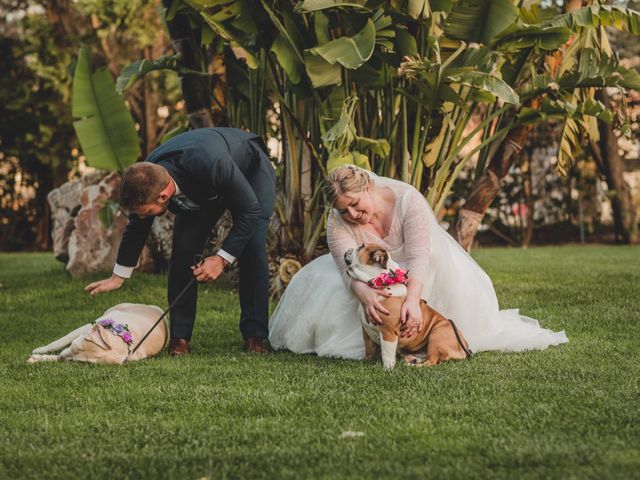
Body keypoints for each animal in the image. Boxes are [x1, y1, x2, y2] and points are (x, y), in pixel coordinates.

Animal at [27, 302, 169, 366]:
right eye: (73, 346)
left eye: (79, 362)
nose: (62, 357)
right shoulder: (88, 326)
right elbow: (61, 340)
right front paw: (41, 350)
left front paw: (39, 358)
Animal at [342, 242, 472, 370]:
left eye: (361, 246)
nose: (348, 249)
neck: (381, 283)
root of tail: (463, 347)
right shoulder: (365, 329)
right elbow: (368, 347)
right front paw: (366, 360)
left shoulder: (388, 332)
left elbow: (387, 354)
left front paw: (388, 369)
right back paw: (412, 360)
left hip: (437, 335)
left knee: (431, 361)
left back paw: (412, 365)